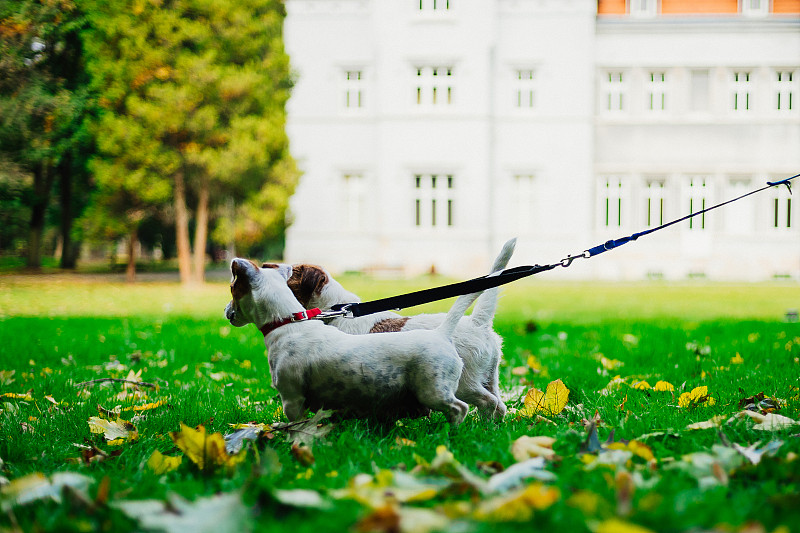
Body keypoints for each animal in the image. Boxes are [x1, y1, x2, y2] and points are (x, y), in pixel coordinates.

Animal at [222, 258, 484, 424]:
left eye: (232, 288)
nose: (226, 312)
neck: (288, 323)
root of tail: (441, 333)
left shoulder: (292, 398)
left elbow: (294, 423)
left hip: (433, 389)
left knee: (460, 408)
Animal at [282, 238, 520, 420]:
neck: (336, 311)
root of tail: (478, 322)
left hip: (465, 383)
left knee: (487, 402)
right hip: (489, 377)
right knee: (499, 405)